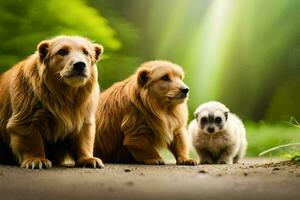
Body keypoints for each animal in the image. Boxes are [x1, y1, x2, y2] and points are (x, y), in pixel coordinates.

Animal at [0, 36, 104, 169]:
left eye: (86, 52)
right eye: (62, 51)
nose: (80, 65)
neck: (65, 95)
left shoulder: (84, 111)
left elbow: (84, 138)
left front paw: (88, 159)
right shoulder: (26, 108)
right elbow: (31, 139)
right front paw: (36, 159)